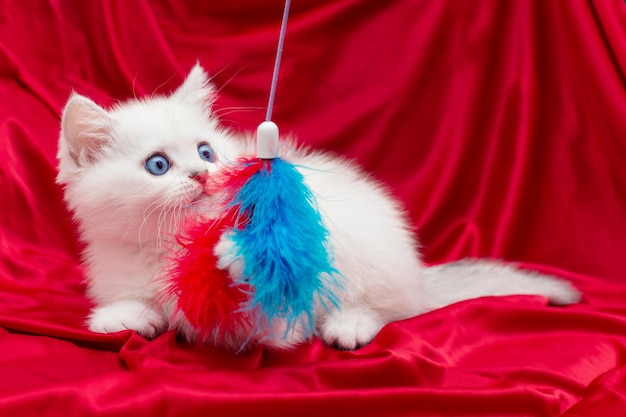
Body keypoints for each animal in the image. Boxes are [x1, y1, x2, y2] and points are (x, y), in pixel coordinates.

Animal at [56, 64, 576, 352]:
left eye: (206, 152)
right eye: (158, 165)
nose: (202, 174)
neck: (171, 244)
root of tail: (418, 274)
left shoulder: (275, 313)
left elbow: (263, 312)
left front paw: (239, 258)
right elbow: (130, 305)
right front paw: (122, 316)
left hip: (362, 252)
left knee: (388, 308)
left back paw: (349, 324)